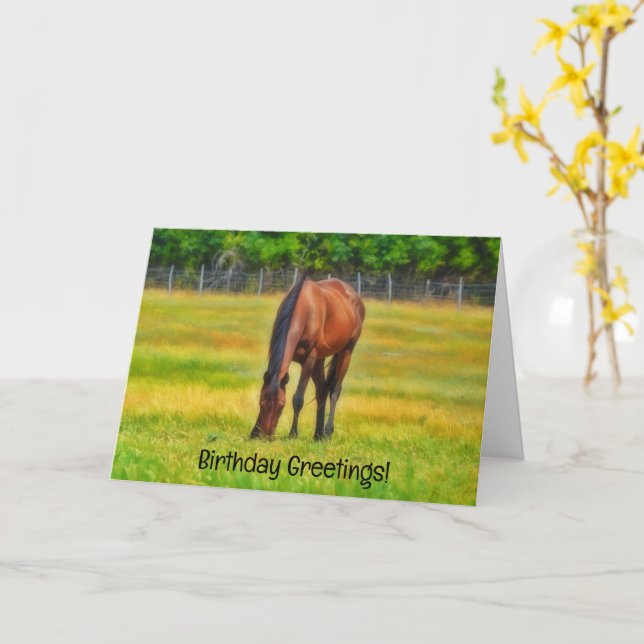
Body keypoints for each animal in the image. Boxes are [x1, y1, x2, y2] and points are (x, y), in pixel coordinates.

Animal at [250, 275, 365, 440]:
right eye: (261, 402)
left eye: (281, 406)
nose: (266, 436)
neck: (304, 310)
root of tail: (356, 297)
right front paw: (254, 432)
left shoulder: (309, 359)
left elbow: (298, 398)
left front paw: (293, 434)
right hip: (320, 360)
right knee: (322, 390)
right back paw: (318, 435)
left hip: (346, 352)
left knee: (335, 390)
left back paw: (327, 432)